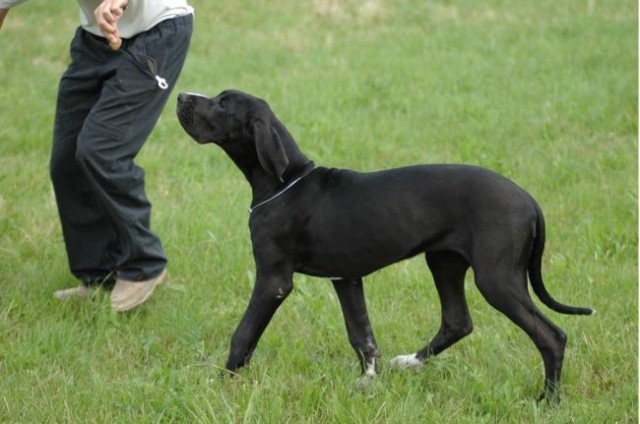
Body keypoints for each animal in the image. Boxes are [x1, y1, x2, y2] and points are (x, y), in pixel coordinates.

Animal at [174, 89, 592, 400]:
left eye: (223, 103)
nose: (180, 96)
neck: (286, 184)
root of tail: (528, 200)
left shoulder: (273, 280)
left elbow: (244, 333)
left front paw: (220, 382)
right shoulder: (346, 278)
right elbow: (362, 335)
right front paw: (367, 381)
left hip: (496, 278)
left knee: (551, 336)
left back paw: (548, 400)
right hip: (444, 260)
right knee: (457, 321)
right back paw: (410, 361)